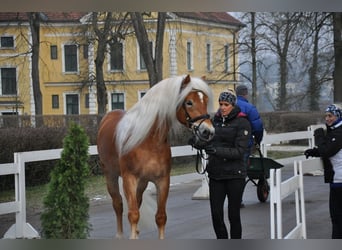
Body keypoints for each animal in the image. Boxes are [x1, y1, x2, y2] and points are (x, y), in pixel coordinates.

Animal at [96, 74, 214, 238]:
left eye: (206, 101)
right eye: (189, 102)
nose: (208, 131)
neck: (149, 140)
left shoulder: (162, 180)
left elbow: (160, 217)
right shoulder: (130, 179)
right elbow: (133, 214)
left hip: (142, 182)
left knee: (137, 202)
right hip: (111, 175)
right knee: (118, 204)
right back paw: (119, 234)